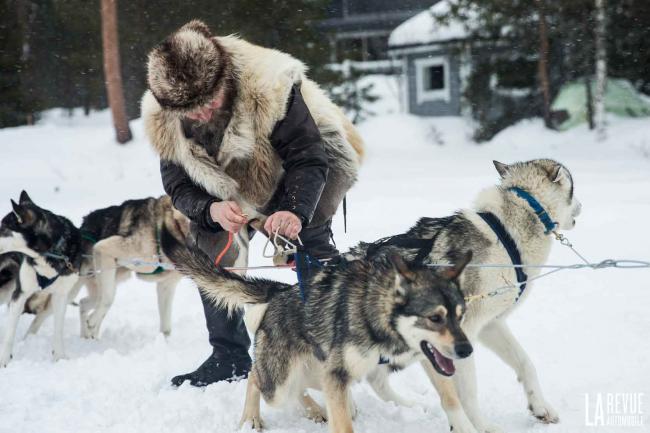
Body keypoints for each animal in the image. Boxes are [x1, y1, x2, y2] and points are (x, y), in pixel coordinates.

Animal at [0, 192, 81, 364]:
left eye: (3, 228)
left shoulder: (61, 296)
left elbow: (58, 330)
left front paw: (59, 357)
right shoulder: (20, 294)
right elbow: (10, 334)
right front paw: (4, 360)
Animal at [76, 194, 189, 340]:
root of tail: (83, 225)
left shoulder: (167, 285)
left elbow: (166, 329)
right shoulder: (103, 248)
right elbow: (108, 300)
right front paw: (92, 321)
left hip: (105, 284)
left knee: (84, 303)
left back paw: (88, 338)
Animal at [163, 226, 470, 432]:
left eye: (460, 315)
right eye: (435, 317)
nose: (466, 350)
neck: (378, 317)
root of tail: (280, 292)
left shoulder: (429, 360)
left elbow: (453, 400)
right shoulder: (337, 374)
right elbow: (343, 425)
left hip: (316, 369)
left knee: (302, 387)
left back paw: (317, 411)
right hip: (280, 384)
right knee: (255, 377)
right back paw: (252, 419)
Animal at [352, 159, 580, 432]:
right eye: (573, 189)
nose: (581, 207)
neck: (507, 234)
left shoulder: (491, 325)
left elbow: (526, 363)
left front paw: (540, 407)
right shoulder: (462, 335)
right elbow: (468, 393)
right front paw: (483, 427)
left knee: (375, 378)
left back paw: (406, 406)